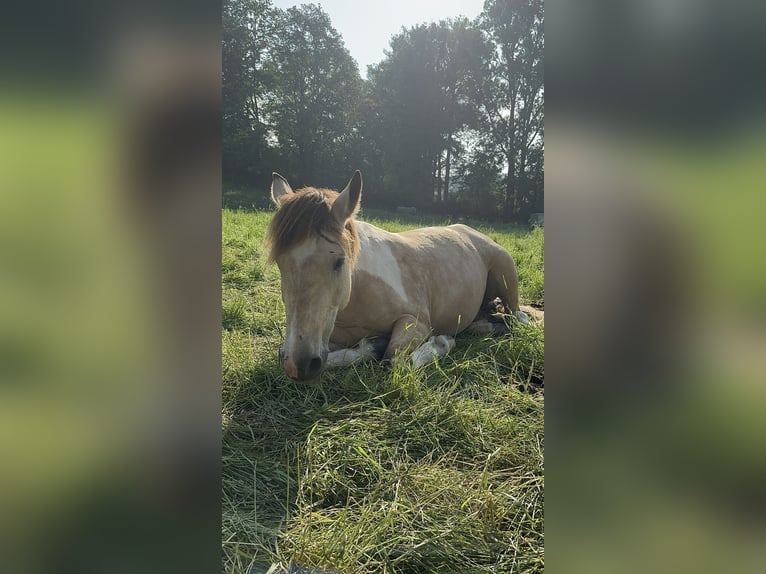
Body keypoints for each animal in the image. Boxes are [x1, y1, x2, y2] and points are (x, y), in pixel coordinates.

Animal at [268, 170, 544, 382]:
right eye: (280, 263)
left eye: (338, 261)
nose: (299, 364)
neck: (358, 293)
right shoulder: (323, 340)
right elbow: (339, 356)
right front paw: (374, 345)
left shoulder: (416, 322)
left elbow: (394, 362)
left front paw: (441, 343)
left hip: (506, 275)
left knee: (520, 318)